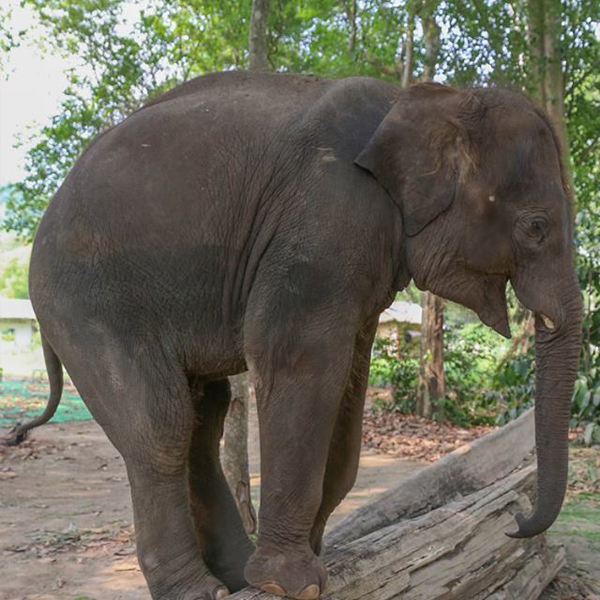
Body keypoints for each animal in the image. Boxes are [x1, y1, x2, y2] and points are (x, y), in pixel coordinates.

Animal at [10, 74, 580, 600]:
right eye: (536, 227)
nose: (516, 520)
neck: (425, 99)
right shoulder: (324, 219)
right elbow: (296, 356)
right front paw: (291, 583)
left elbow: (349, 376)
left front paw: (311, 557)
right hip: (85, 302)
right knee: (160, 426)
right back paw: (199, 590)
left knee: (202, 419)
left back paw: (233, 577)